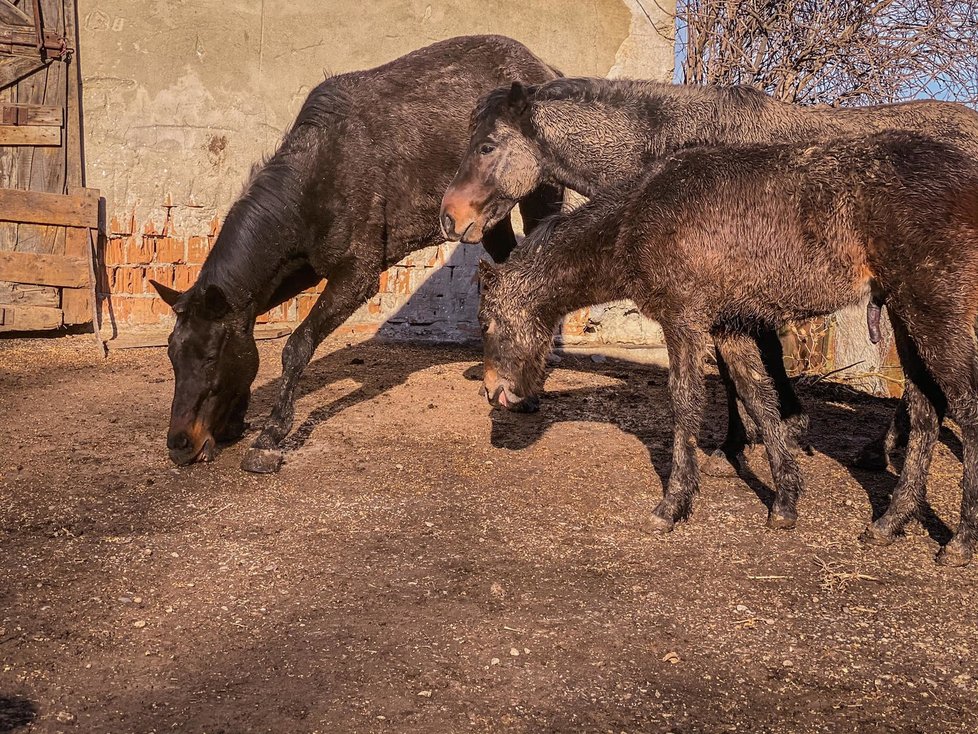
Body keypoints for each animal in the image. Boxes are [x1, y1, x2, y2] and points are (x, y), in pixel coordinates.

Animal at [144, 36, 556, 472]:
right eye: (172, 355)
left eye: (210, 357)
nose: (180, 445)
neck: (315, 180)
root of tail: (545, 68)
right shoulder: (297, 269)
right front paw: (236, 421)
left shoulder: (358, 274)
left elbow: (297, 345)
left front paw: (270, 436)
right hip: (488, 220)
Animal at [476, 132, 976, 568]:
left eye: (487, 321)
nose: (494, 392)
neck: (639, 216)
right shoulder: (728, 328)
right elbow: (758, 398)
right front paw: (785, 501)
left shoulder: (684, 323)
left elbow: (686, 403)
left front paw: (673, 504)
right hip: (905, 318)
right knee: (926, 412)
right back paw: (890, 521)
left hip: (935, 313)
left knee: (966, 411)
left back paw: (961, 542)